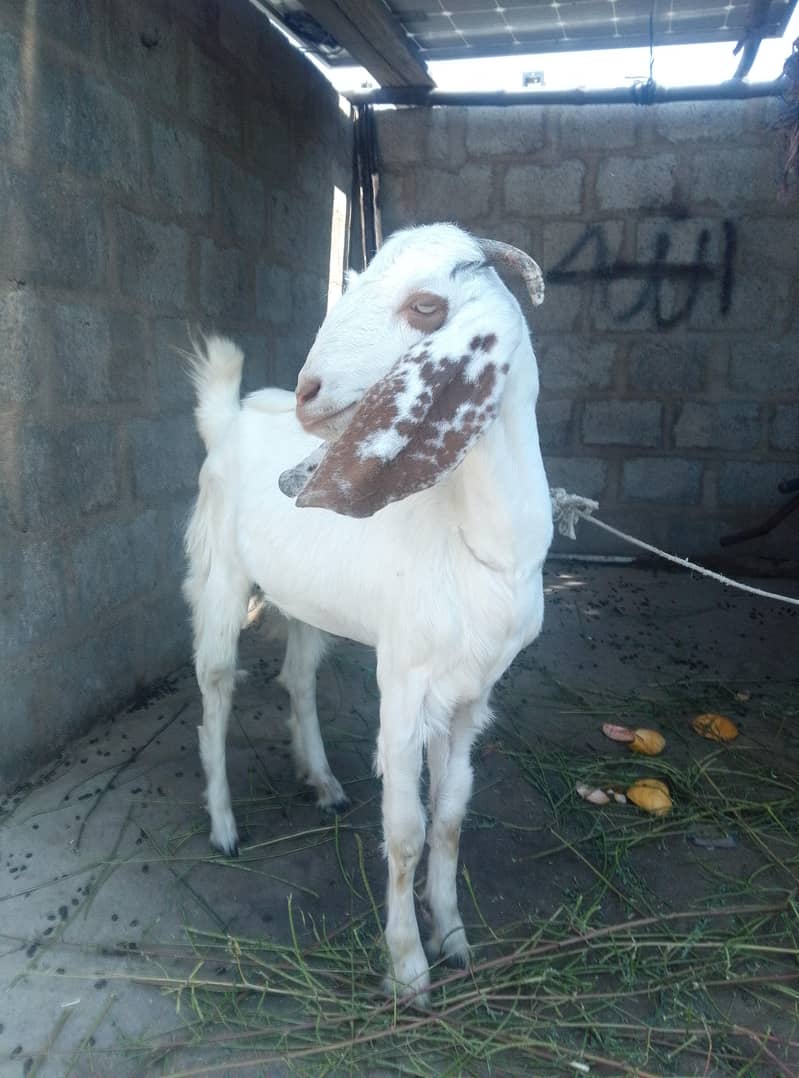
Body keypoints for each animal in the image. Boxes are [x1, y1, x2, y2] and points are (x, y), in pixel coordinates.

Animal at [183, 223, 553, 1005]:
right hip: (220, 576)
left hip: (305, 598)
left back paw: (321, 783)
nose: (309, 393)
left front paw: (455, 938)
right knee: (216, 688)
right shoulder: (405, 681)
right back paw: (225, 827)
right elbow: (406, 830)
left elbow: (451, 816)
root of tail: (228, 417)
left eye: (425, 306)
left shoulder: (474, 691)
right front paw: (408, 970)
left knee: (297, 676)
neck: (481, 544)